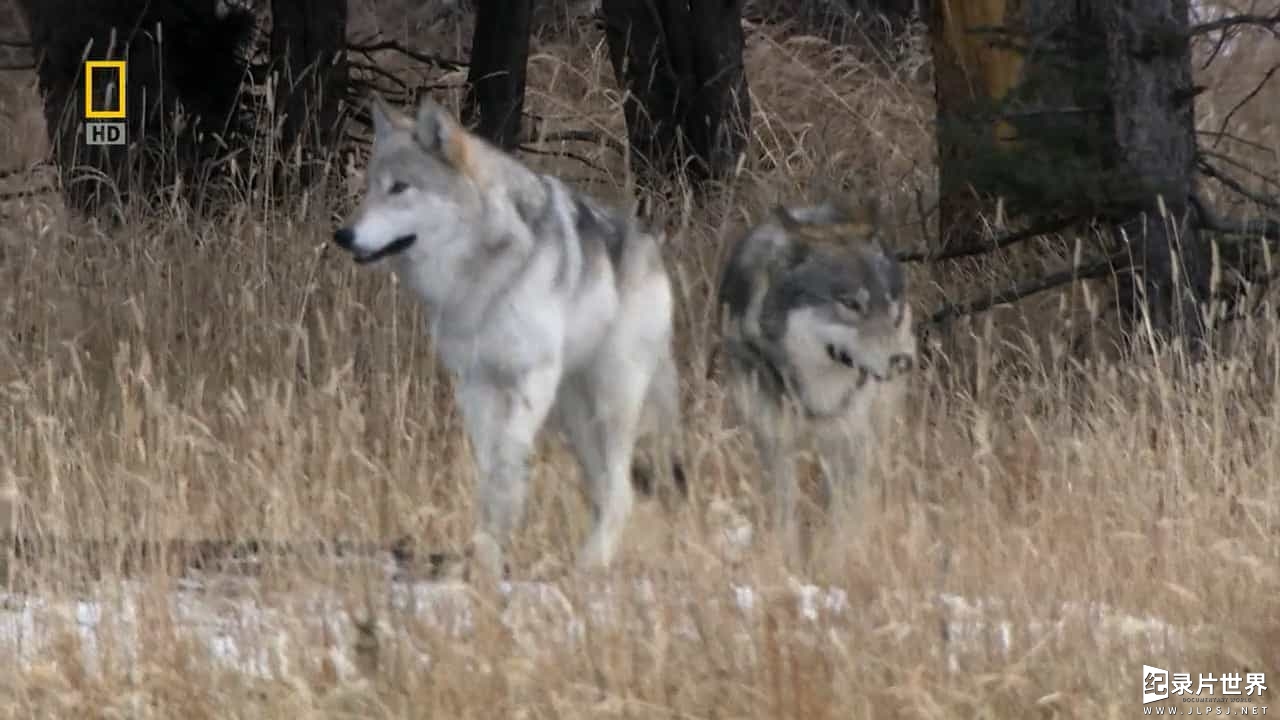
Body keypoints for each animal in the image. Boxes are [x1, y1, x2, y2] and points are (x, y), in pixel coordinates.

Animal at [335, 95, 686, 576]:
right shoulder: (474, 384)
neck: (476, 278)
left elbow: (507, 459)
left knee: (621, 491)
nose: (342, 235)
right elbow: (489, 470)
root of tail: (651, 247)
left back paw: (591, 564)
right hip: (574, 419)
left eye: (400, 188)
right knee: (602, 490)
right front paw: (487, 551)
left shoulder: (530, 377)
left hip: (612, 404)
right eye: (371, 187)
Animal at [716, 196, 916, 556]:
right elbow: (785, 512)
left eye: (888, 302)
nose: (902, 361)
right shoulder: (774, 442)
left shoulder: (848, 439)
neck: (813, 390)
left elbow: (842, 517)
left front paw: (840, 555)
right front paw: (786, 556)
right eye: (851, 303)